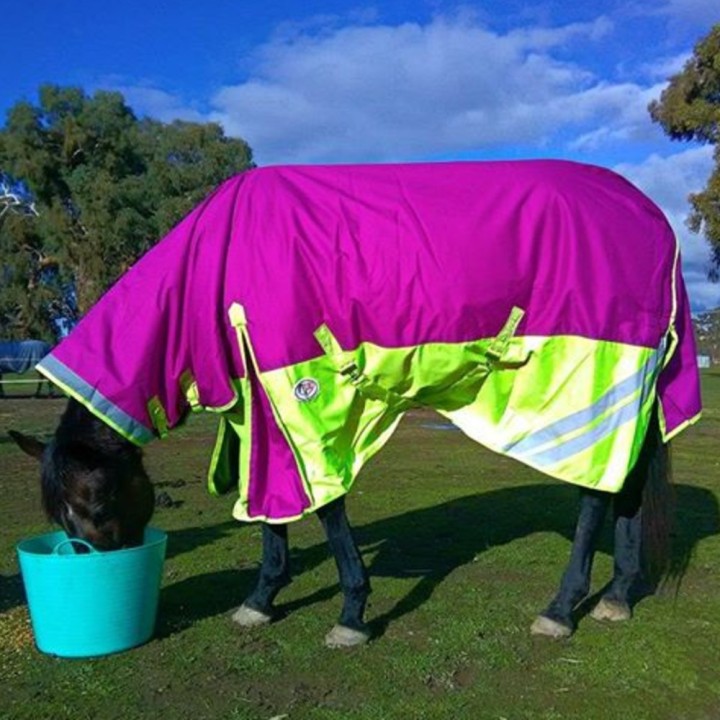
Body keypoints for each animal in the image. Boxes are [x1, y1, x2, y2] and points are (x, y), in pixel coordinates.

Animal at [10, 161, 701, 648]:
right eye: (63, 514)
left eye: (96, 501)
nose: (102, 574)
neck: (217, 268)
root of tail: (653, 219)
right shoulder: (260, 408)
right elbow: (271, 512)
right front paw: (261, 600)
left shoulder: (306, 398)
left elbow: (325, 507)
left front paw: (350, 613)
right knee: (627, 488)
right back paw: (617, 596)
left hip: (595, 387)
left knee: (595, 494)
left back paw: (561, 609)